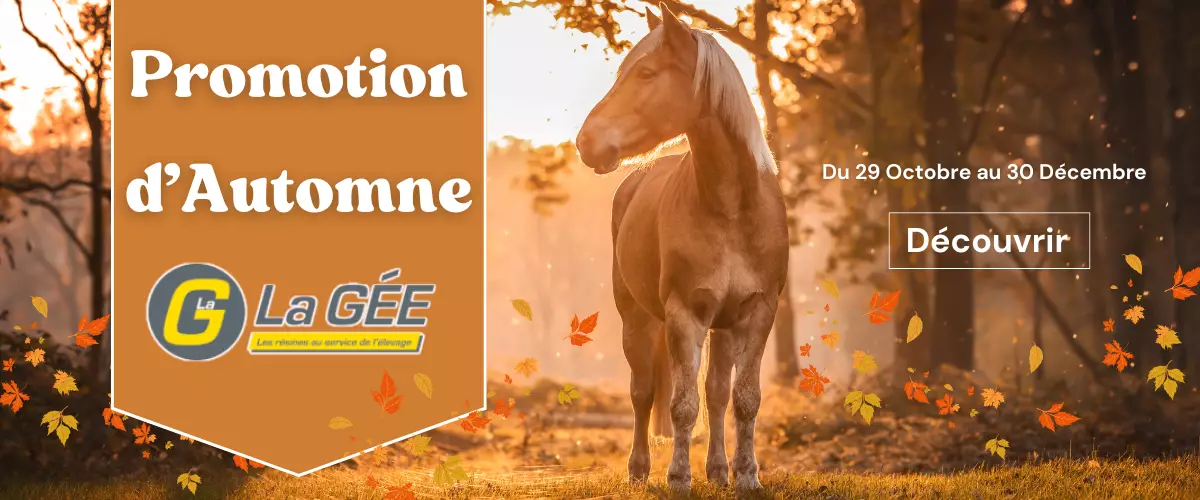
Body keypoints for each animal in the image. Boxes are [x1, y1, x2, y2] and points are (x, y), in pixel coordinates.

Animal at [574, 5, 789, 493]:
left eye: (647, 72)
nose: (586, 142)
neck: (731, 209)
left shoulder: (757, 312)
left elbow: (743, 399)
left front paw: (747, 476)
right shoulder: (684, 314)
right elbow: (681, 404)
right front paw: (677, 477)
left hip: (723, 327)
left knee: (717, 394)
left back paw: (719, 471)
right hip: (636, 319)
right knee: (643, 392)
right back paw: (639, 470)